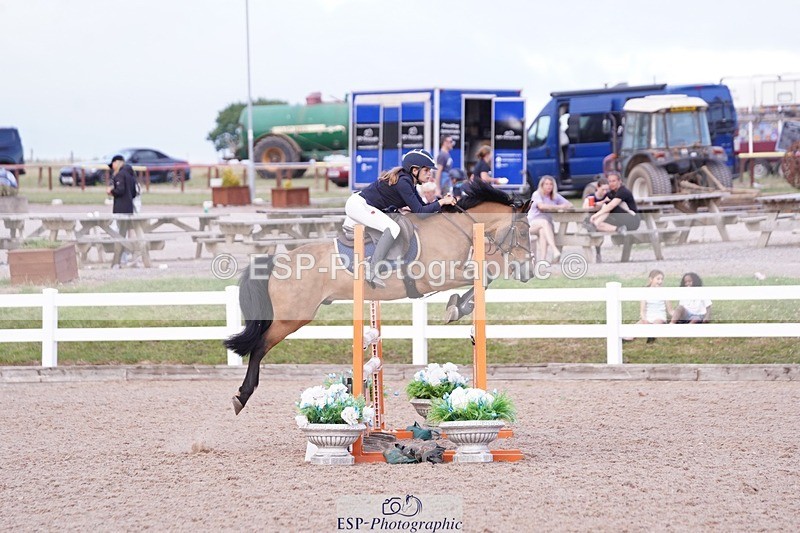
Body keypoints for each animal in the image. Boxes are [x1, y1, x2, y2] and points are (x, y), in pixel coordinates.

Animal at [224, 179, 533, 414]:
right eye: (523, 230)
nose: (527, 270)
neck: (453, 228)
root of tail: (277, 261)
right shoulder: (437, 276)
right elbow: (484, 275)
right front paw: (456, 307)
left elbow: (484, 278)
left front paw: (458, 307)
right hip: (293, 317)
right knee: (259, 346)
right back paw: (241, 396)